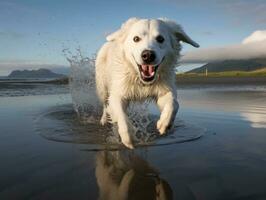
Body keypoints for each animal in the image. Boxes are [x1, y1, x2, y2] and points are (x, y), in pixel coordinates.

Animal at [96, 17, 200, 148]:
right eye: (136, 39)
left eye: (160, 39)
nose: (148, 55)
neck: (142, 81)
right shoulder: (117, 94)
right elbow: (121, 116)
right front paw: (129, 138)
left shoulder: (164, 91)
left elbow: (174, 104)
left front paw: (164, 124)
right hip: (102, 87)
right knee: (105, 104)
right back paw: (104, 120)